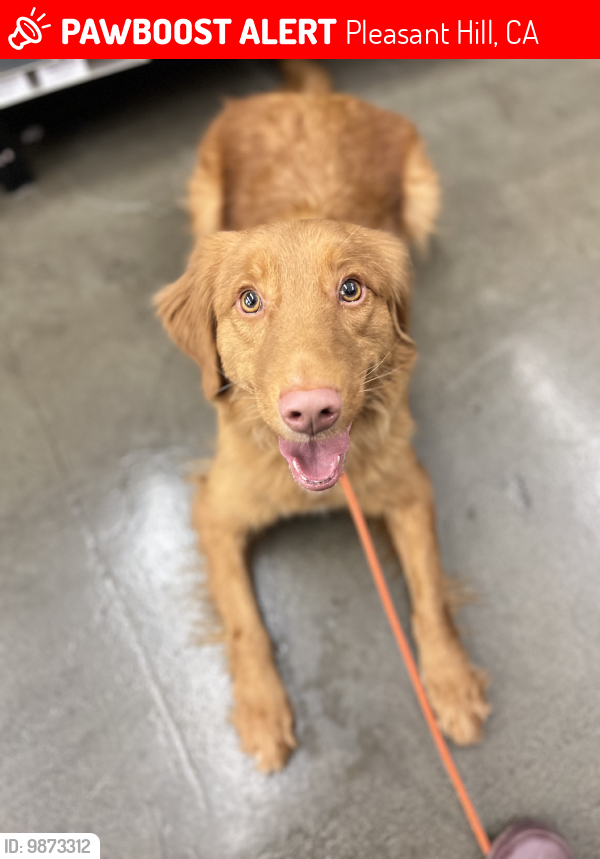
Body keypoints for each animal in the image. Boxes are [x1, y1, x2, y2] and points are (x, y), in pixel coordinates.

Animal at [155, 60, 488, 772]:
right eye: (249, 300)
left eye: (351, 289)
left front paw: (450, 682)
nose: (311, 410)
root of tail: (310, 99)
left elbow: (429, 597)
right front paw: (261, 710)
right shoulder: (214, 511)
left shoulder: (410, 490)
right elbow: (245, 624)